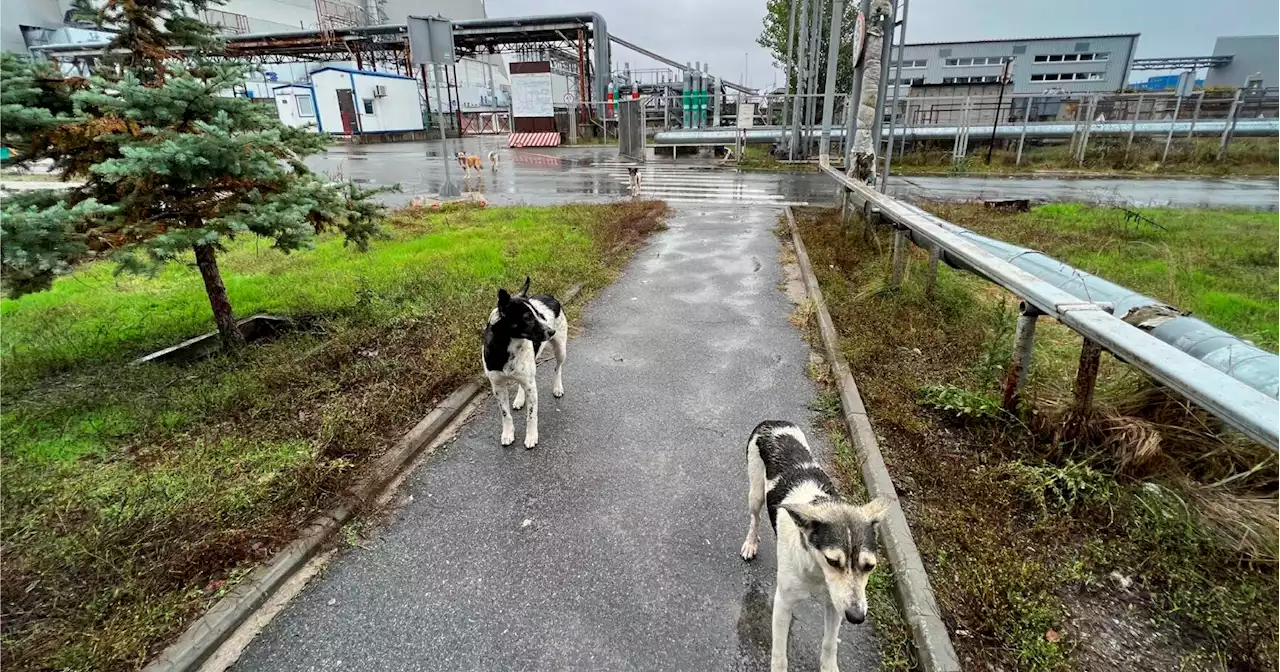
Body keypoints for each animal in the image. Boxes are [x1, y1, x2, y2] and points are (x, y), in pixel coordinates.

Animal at [481, 275, 565, 448]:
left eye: (539, 315)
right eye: (527, 318)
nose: (551, 331)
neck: (506, 346)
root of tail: (550, 296)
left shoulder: (531, 385)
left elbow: (531, 415)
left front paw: (531, 436)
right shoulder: (498, 386)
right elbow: (505, 414)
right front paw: (508, 433)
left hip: (561, 349)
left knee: (558, 367)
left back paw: (557, 387)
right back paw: (520, 399)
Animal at [742, 419, 890, 670]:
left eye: (870, 566)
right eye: (832, 560)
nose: (857, 618)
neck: (817, 569)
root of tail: (772, 421)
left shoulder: (836, 604)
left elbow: (829, 644)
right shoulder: (782, 603)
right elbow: (779, 655)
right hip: (756, 493)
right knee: (755, 518)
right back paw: (751, 543)